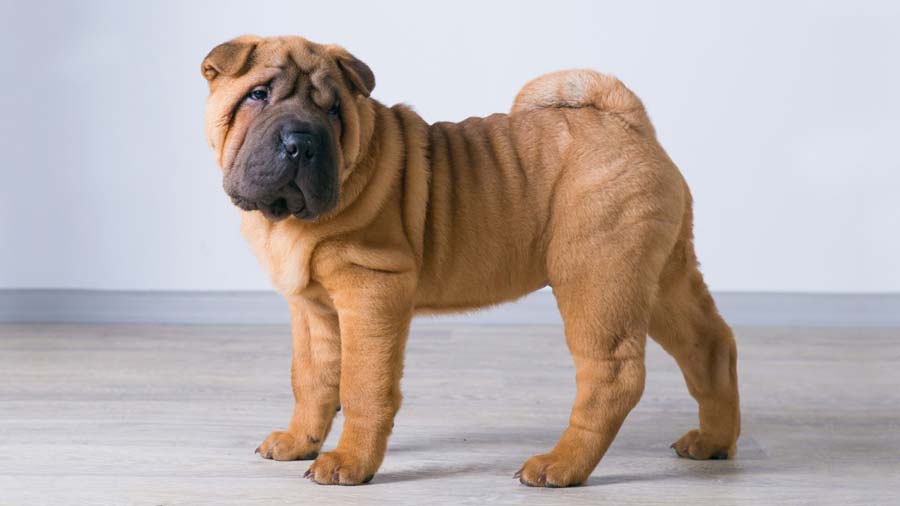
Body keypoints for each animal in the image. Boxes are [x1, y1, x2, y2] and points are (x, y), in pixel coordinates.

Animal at [202, 34, 740, 486]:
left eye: (334, 111)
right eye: (257, 96)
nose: (301, 141)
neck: (288, 219)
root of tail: (625, 122)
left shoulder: (371, 289)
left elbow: (361, 385)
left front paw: (349, 463)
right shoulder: (311, 307)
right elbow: (311, 379)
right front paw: (299, 443)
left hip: (597, 279)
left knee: (612, 377)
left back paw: (560, 465)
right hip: (662, 277)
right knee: (709, 345)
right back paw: (713, 442)